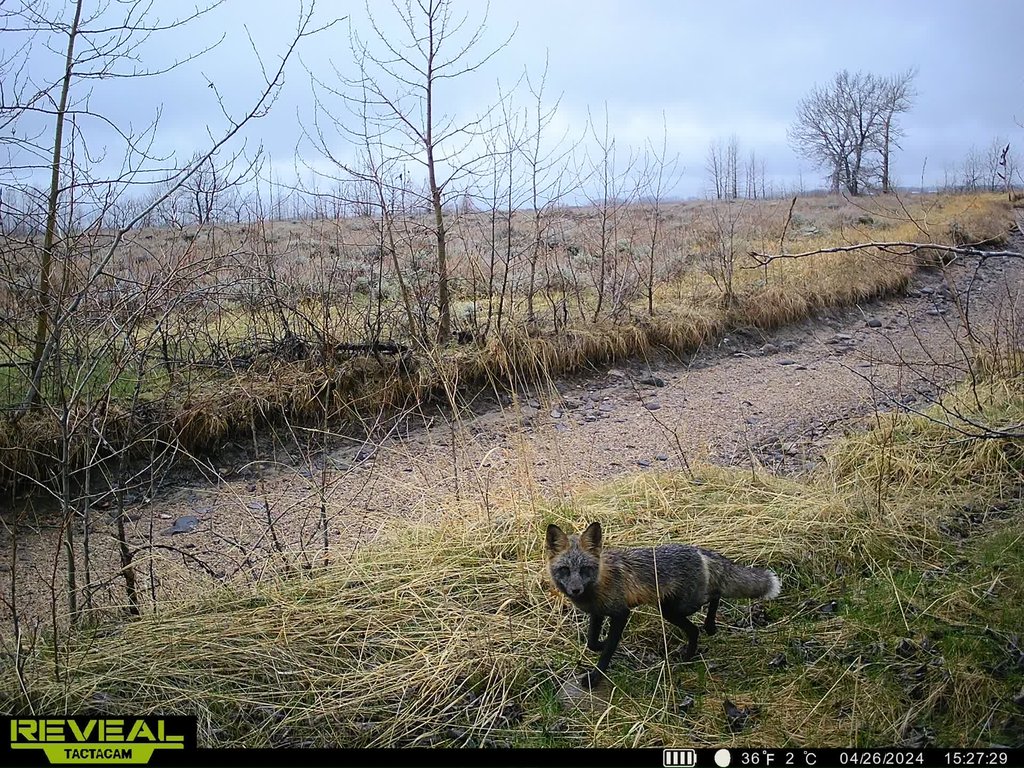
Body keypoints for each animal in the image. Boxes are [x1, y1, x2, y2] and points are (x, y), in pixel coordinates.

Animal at [545, 521, 781, 687]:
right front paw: (601, 644)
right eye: (565, 570)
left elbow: (608, 650)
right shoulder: (598, 613)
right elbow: (592, 642)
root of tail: (698, 551)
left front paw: (595, 676)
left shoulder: (621, 612)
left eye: (584, 569)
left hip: (679, 607)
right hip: (671, 610)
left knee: (714, 598)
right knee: (696, 626)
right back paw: (691, 652)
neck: (600, 581)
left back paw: (707, 630)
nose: (575, 590)